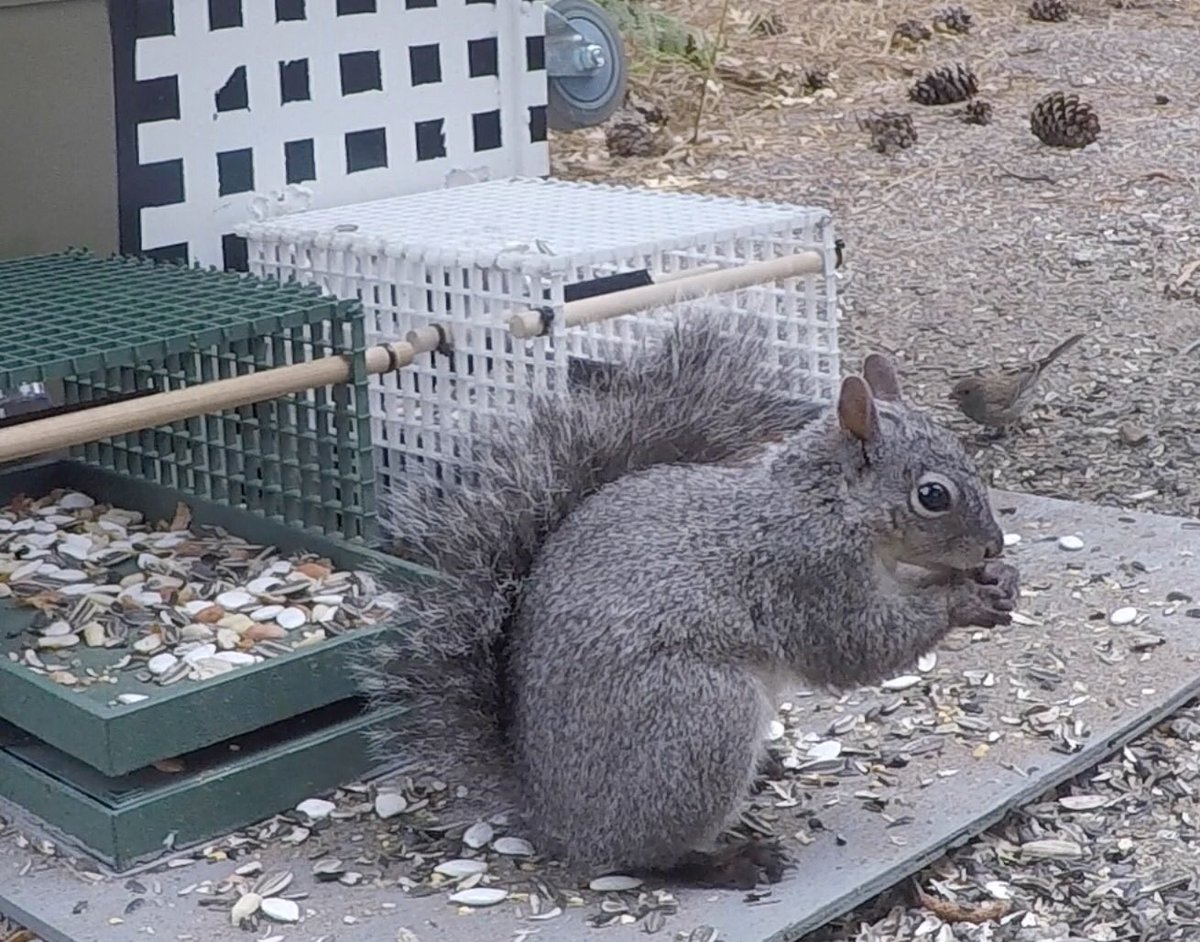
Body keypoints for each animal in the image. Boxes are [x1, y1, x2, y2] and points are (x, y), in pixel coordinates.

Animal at [357, 309, 1020, 891]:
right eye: (932, 495)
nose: (992, 545)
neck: (828, 504)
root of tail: (553, 817)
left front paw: (999, 579)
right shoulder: (805, 573)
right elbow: (856, 645)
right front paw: (964, 599)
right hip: (700, 719)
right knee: (642, 856)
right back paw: (727, 862)